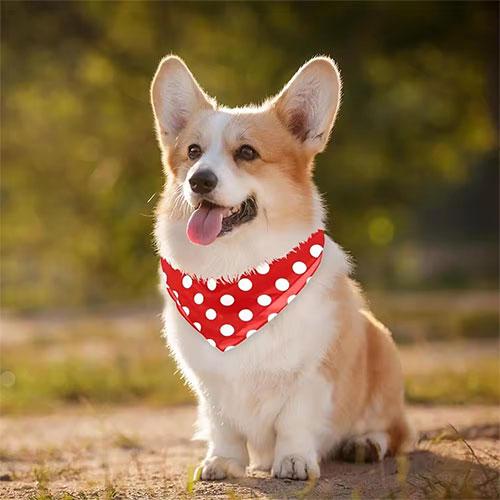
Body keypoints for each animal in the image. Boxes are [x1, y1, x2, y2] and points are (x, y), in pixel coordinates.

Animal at [150, 54, 412, 480]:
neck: (236, 273)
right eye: (192, 151)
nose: (199, 180)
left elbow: (295, 420)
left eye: (247, 153)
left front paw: (293, 461)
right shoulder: (211, 384)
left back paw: (364, 444)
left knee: (398, 431)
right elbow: (223, 427)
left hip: (382, 348)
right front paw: (222, 461)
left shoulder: (313, 374)